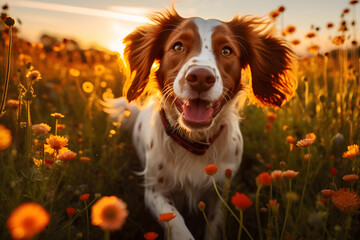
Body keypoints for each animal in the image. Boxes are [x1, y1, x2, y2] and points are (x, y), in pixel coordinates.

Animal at [105, 7, 294, 240]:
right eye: (178, 46)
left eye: (226, 51)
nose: (201, 77)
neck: (194, 142)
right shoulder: (155, 191)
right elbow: (176, 224)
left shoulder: (220, 191)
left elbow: (214, 228)